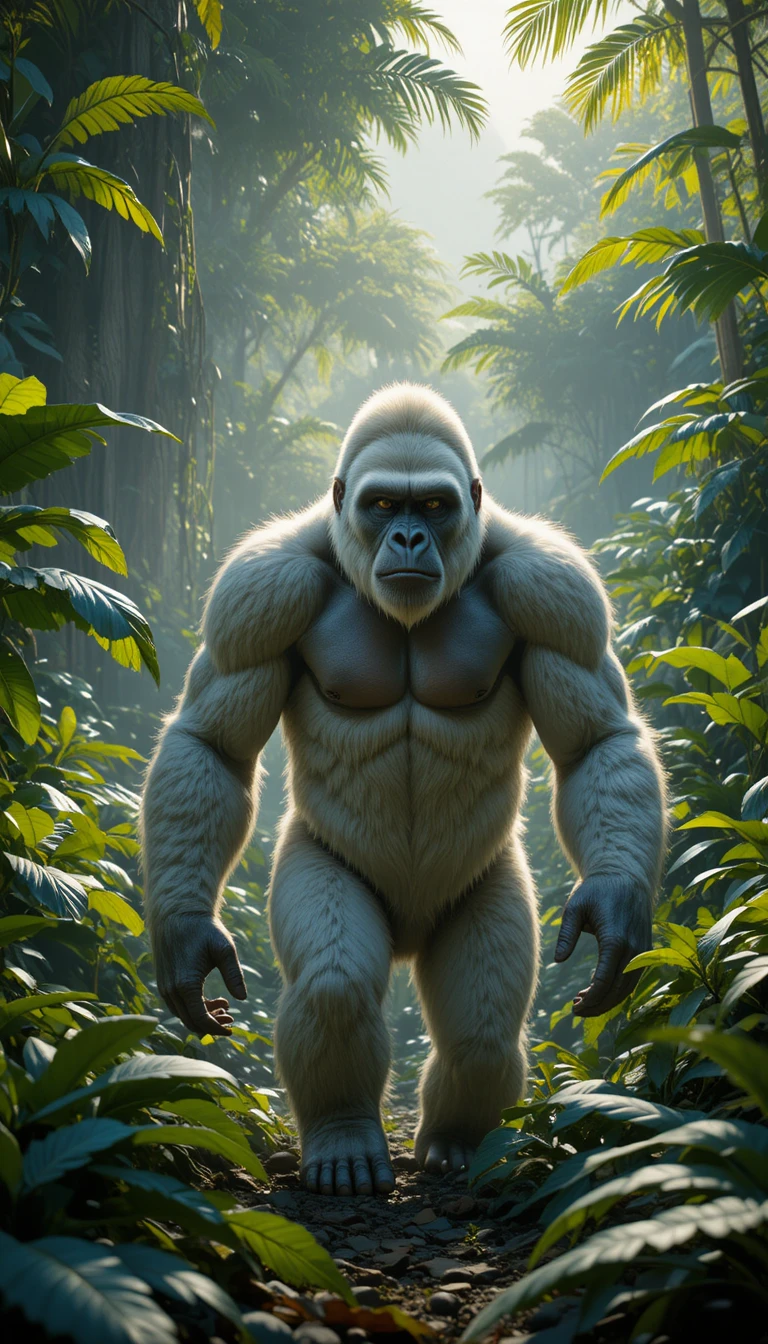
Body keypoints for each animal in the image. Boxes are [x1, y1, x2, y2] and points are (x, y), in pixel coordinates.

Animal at [140, 382, 666, 1197]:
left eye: (436, 506)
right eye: (385, 504)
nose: (412, 539)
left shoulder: (556, 590)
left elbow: (596, 742)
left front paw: (614, 904)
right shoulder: (257, 591)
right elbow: (212, 746)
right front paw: (186, 933)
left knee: (481, 1030)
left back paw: (455, 1142)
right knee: (336, 986)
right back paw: (343, 1140)